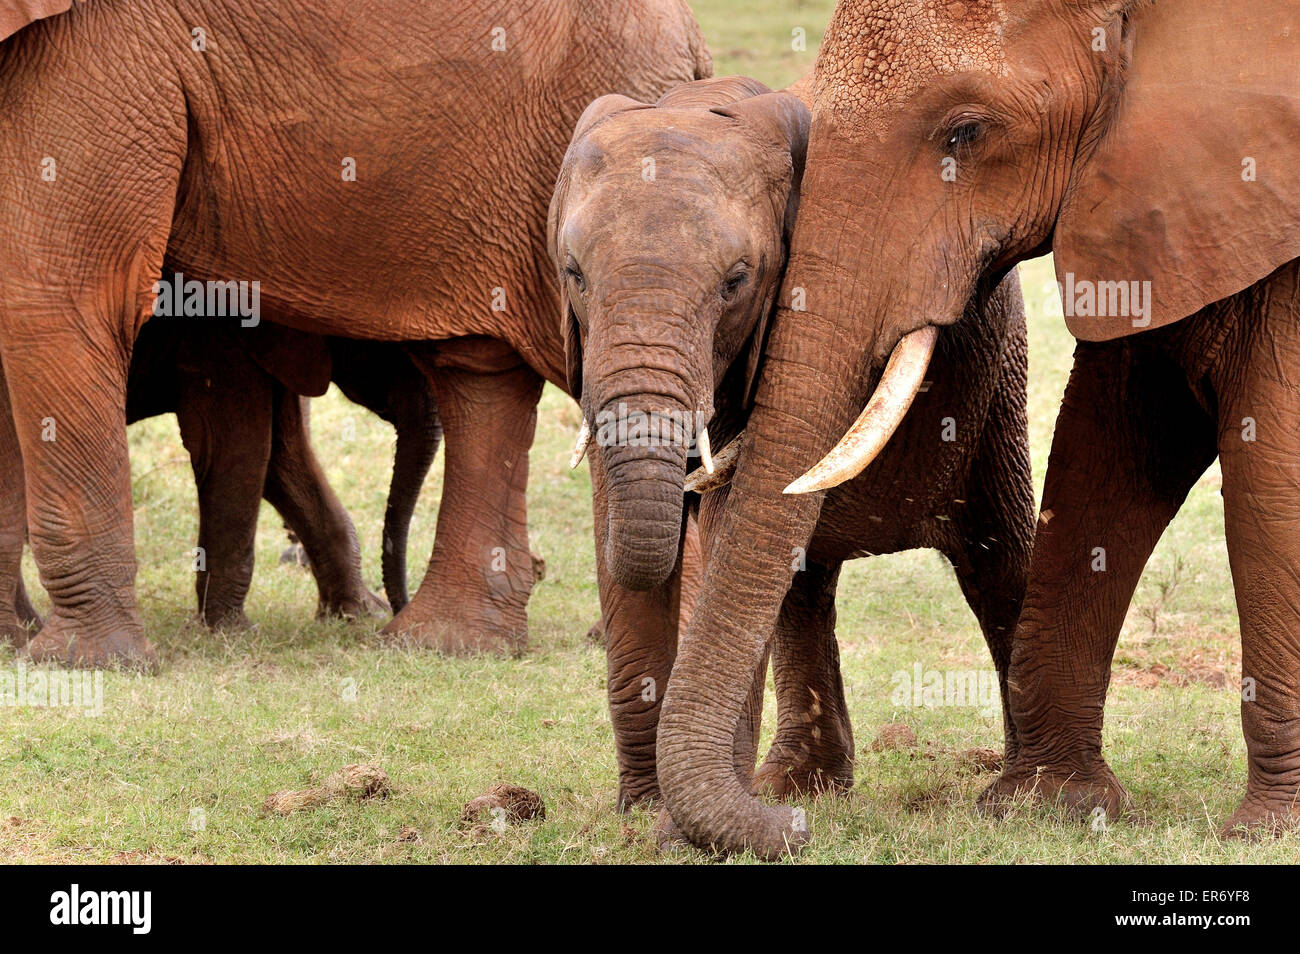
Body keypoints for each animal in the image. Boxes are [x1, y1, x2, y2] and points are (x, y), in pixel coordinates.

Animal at [0, 0, 712, 670]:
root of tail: (692, 45)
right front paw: (46, 646)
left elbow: (62, 295)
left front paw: (91, 660)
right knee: (483, 370)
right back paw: (444, 643)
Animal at [543, 78, 1029, 831]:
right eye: (573, 273)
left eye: (738, 281)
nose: (792, 834)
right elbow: (625, 540)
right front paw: (644, 811)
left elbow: (723, 541)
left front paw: (677, 827)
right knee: (803, 585)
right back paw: (800, 786)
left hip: (997, 383)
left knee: (995, 558)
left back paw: (1016, 792)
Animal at [655, 0, 1300, 857]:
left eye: (965, 132)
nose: (790, 824)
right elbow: (1111, 452)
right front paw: (1049, 806)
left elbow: (1271, 481)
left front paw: (1267, 830)